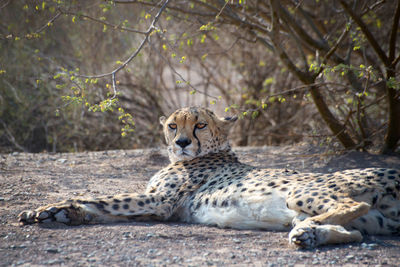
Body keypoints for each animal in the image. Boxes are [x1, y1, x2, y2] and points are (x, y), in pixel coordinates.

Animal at [18, 107, 400, 249]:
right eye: (173, 126)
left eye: (200, 125)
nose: (182, 142)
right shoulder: (161, 207)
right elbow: (102, 207)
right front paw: (55, 213)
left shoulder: (161, 202)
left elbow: (101, 198)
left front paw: (53, 207)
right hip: (365, 219)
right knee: (354, 231)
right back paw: (308, 234)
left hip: (302, 192)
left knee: (347, 207)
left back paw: (307, 230)